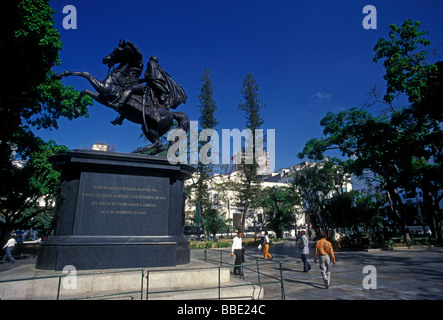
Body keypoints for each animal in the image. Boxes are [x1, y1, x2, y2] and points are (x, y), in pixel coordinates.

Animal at [53, 40, 189, 155]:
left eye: (119, 50)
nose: (105, 59)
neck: (122, 77)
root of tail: (172, 114)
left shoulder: (105, 89)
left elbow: (86, 74)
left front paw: (76, 108)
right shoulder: (103, 97)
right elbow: (84, 90)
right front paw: (75, 106)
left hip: (151, 127)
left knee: (158, 143)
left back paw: (138, 151)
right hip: (147, 127)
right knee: (160, 146)